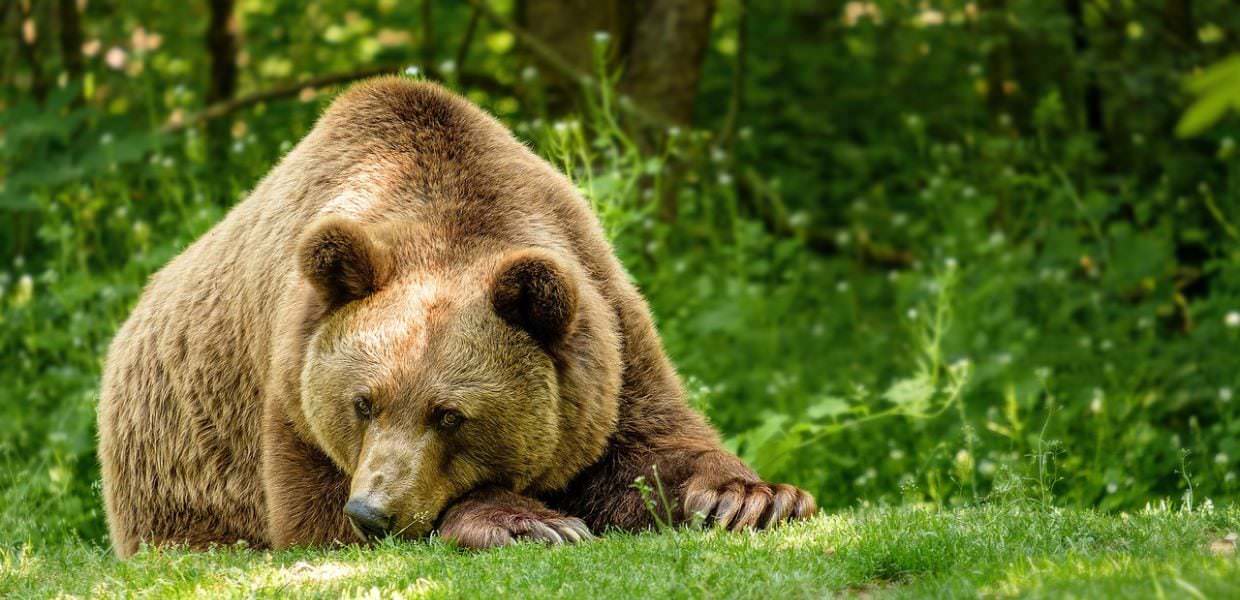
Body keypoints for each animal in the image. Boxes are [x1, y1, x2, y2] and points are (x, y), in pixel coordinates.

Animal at [97, 77, 816, 557]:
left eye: (450, 415)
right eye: (362, 402)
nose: (374, 511)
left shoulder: (605, 331)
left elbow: (652, 447)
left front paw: (754, 498)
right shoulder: (291, 392)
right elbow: (313, 517)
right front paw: (531, 520)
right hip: (177, 470)